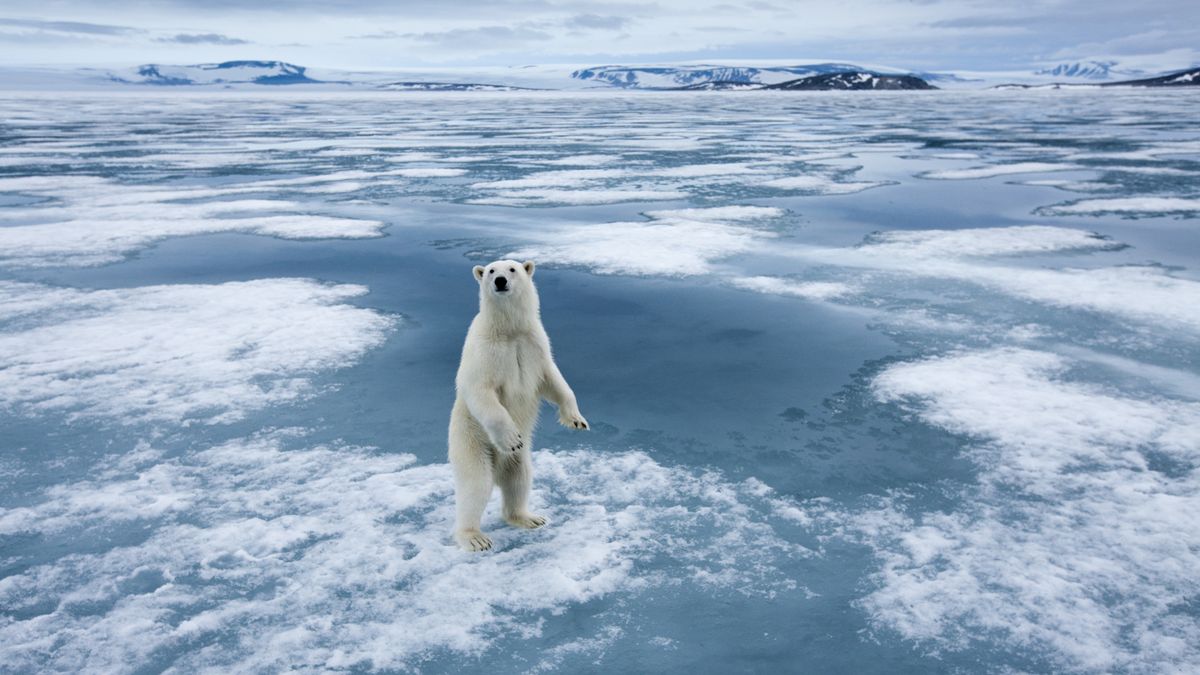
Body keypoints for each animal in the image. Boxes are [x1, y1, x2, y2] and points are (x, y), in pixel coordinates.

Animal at [448, 260, 588, 550]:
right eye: (491, 271)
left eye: (512, 269)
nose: (500, 281)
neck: (508, 332)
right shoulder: (484, 351)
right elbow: (480, 391)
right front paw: (512, 437)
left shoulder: (535, 344)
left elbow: (553, 380)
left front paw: (576, 420)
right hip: (470, 441)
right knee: (476, 485)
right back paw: (474, 537)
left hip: (518, 461)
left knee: (519, 479)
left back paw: (529, 517)